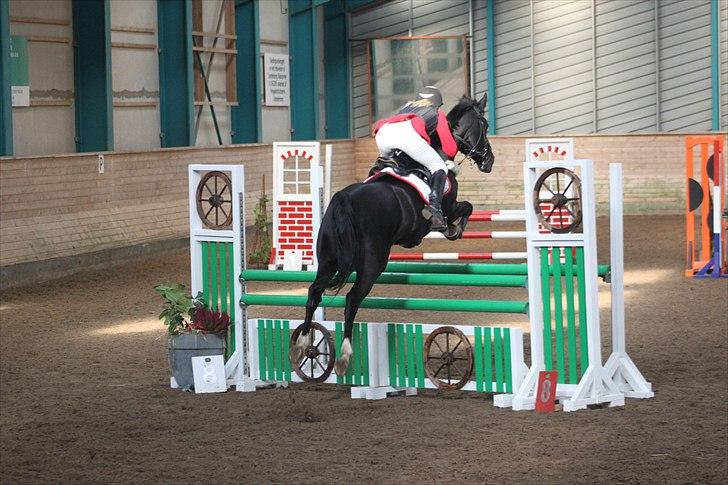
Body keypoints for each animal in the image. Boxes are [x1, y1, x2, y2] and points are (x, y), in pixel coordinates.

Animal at [289, 94, 495, 377]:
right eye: (484, 125)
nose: (489, 161)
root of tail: (343, 199)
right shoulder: (450, 205)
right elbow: (465, 208)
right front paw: (452, 229)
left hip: (328, 260)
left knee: (313, 293)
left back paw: (302, 345)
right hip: (373, 263)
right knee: (352, 299)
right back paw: (343, 356)